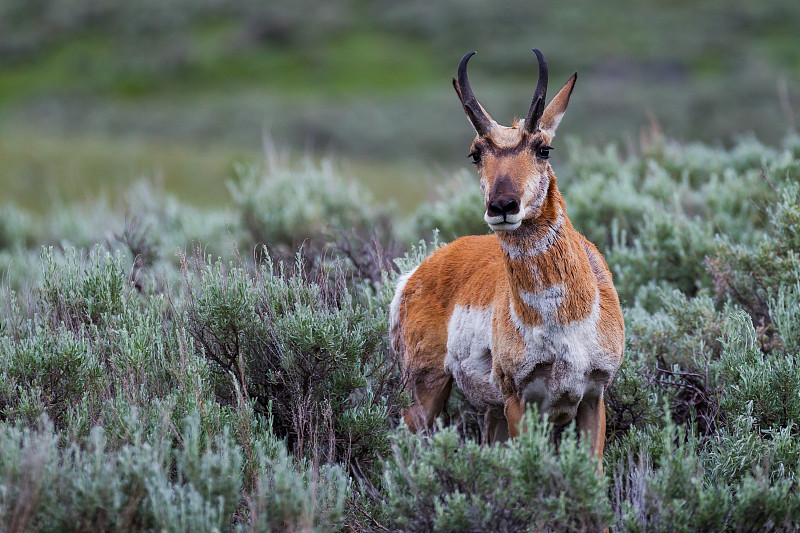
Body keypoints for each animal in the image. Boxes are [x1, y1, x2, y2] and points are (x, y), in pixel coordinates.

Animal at [388, 47, 624, 460]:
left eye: (543, 148)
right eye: (474, 154)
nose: (501, 205)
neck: (563, 320)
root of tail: (416, 272)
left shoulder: (594, 397)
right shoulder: (518, 400)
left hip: (488, 412)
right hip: (427, 390)